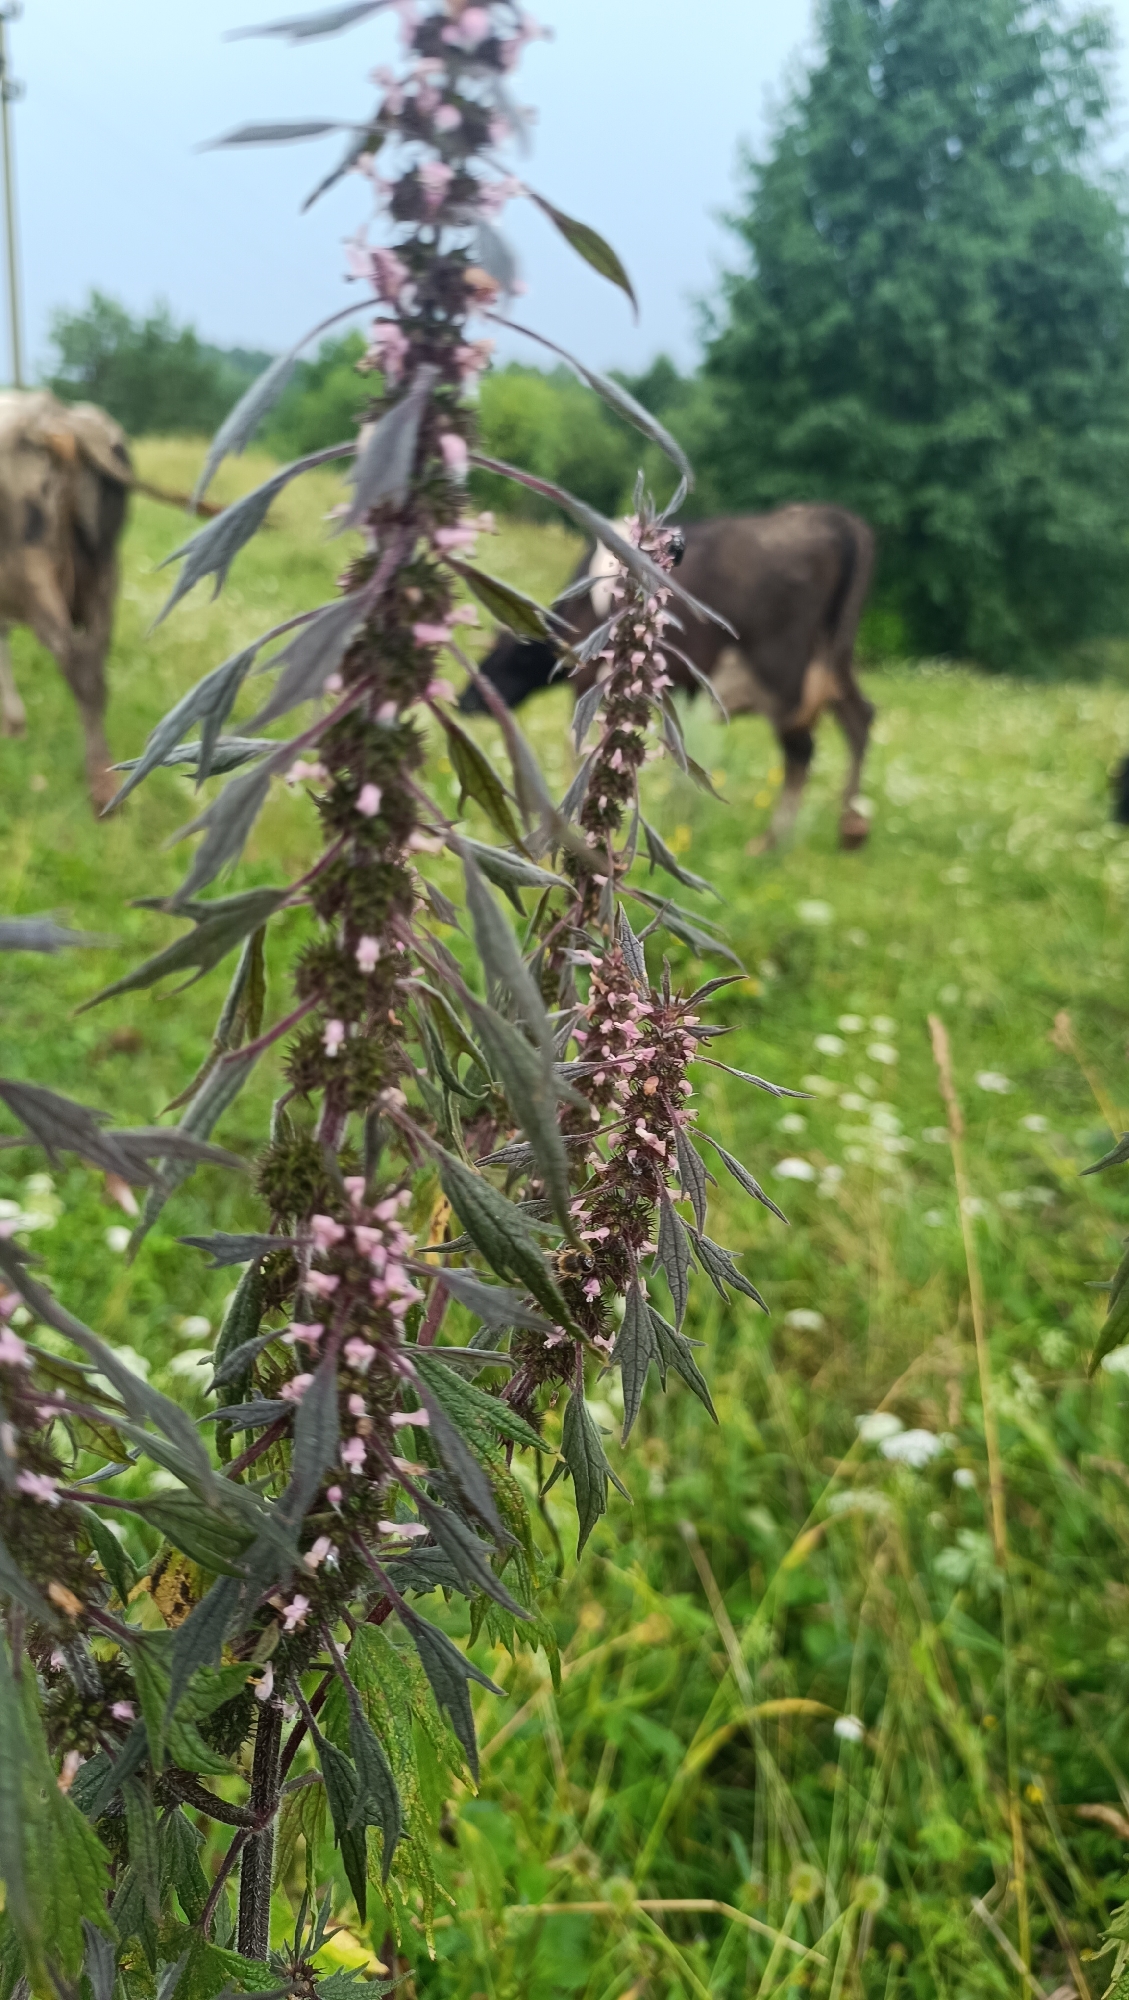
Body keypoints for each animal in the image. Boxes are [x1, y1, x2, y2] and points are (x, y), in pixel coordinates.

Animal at [0, 390, 131, 813]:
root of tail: (51, 414)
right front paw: (13, 725)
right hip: (105, 573)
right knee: (94, 669)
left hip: (34, 575)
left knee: (75, 665)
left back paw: (101, 789)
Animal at [462, 503, 877, 848]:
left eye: (502, 658)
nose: (467, 701)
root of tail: (831, 516)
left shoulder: (593, 678)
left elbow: (580, 745)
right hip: (836, 656)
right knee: (859, 717)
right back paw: (851, 830)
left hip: (782, 673)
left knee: (801, 748)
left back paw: (771, 842)